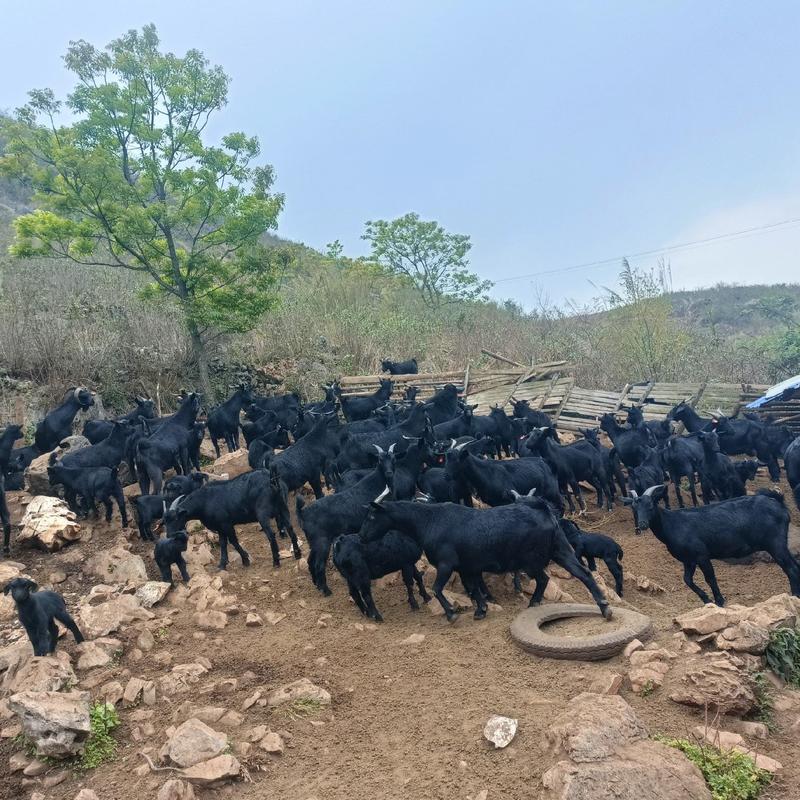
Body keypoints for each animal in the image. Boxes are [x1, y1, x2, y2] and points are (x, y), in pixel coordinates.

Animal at [624, 484, 800, 604]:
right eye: (634, 507)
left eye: (650, 505)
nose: (643, 524)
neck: (672, 524)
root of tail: (778, 503)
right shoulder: (689, 560)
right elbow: (687, 580)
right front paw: (706, 600)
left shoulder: (701, 555)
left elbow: (710, 578)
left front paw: (719, 601)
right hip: (780, 544)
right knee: (795, 566)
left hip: (775, 544)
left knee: (791, 568)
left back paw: (794, 596)